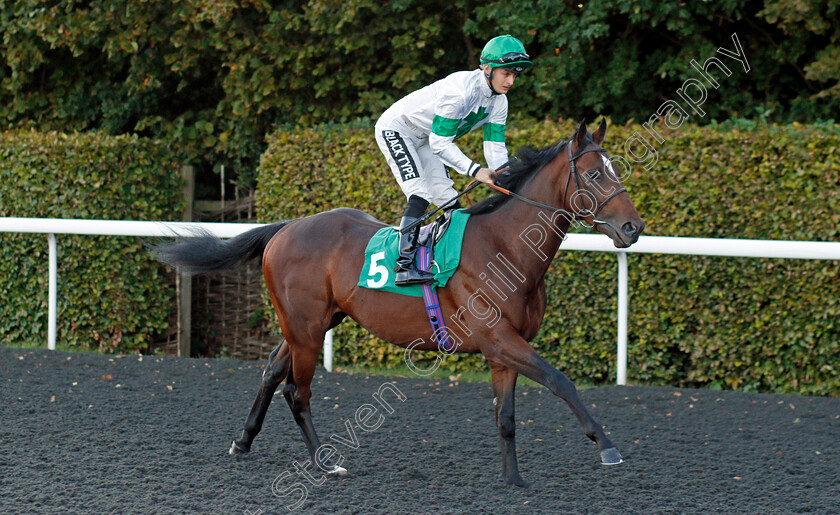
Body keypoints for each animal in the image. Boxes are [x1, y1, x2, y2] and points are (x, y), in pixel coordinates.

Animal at [154, 120, 644, 488]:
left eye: (616, 170)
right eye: (596, 174)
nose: (633, 227)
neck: (504, 246)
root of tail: (287, 227)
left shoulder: (502, 349)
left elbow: (506, 416)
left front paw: (513, 479)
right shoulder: (500, 339)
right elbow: (562, 382)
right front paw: (607, 447)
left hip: (311, 322)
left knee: (273, 371)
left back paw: (242, 442)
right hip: (307, 329)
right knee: (296, 390)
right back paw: (324, 462)